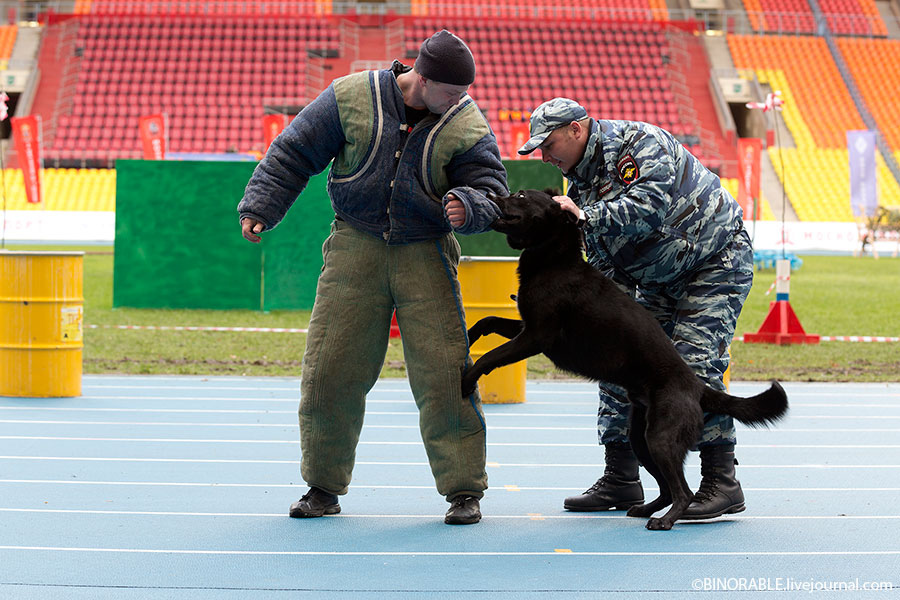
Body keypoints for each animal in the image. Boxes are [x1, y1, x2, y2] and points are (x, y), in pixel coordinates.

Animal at [464, 189, 788, 528]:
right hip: (641, 439)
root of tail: (697, 387)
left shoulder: (536, 337)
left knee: (683, 492)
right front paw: (469, 335)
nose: (490, 193)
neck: (555, 260)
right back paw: (646, 510)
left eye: (521, 195)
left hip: (660, 437)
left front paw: (468, 378)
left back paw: (665, 521)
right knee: (667, 489)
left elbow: (491, 357)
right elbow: (487, 320)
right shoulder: (526, 329)